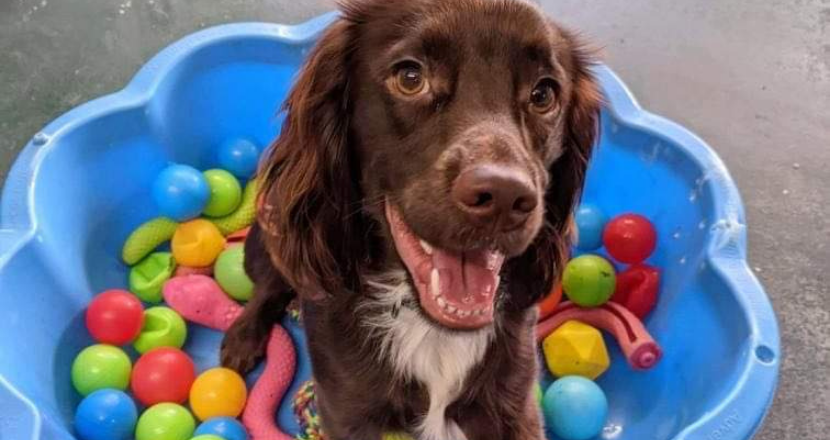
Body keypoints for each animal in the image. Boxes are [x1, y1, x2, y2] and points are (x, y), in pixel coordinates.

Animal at [221, 1, 600, 438]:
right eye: (410, 77)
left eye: (543, 94)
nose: (504, 197)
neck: (424, 322)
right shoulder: (343, 410)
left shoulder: (514, 403)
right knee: (266, 285)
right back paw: (243, 338)